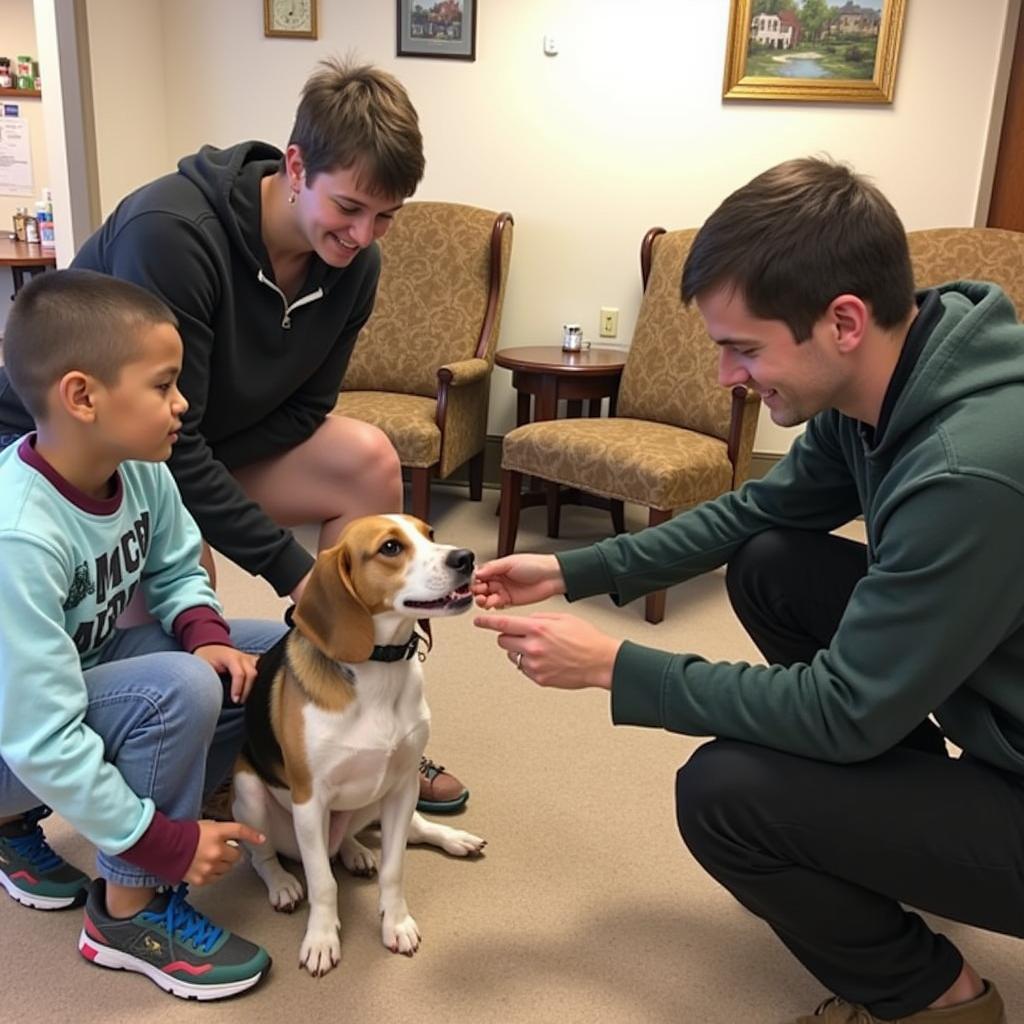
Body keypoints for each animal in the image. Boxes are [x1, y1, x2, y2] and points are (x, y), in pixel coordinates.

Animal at [233, 512, 487, 974]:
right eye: (390, 548)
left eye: (431, 534)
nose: (466, 558)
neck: (378, 664)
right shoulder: (309, 800)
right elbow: (322, 882)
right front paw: (321, 939)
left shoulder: (403, 784)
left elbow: (394, 868)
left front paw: (396, 922)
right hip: (250, 794)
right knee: (263, 856)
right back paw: (282, 883)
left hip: (379, 795)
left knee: (405, 831)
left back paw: (414, 843)